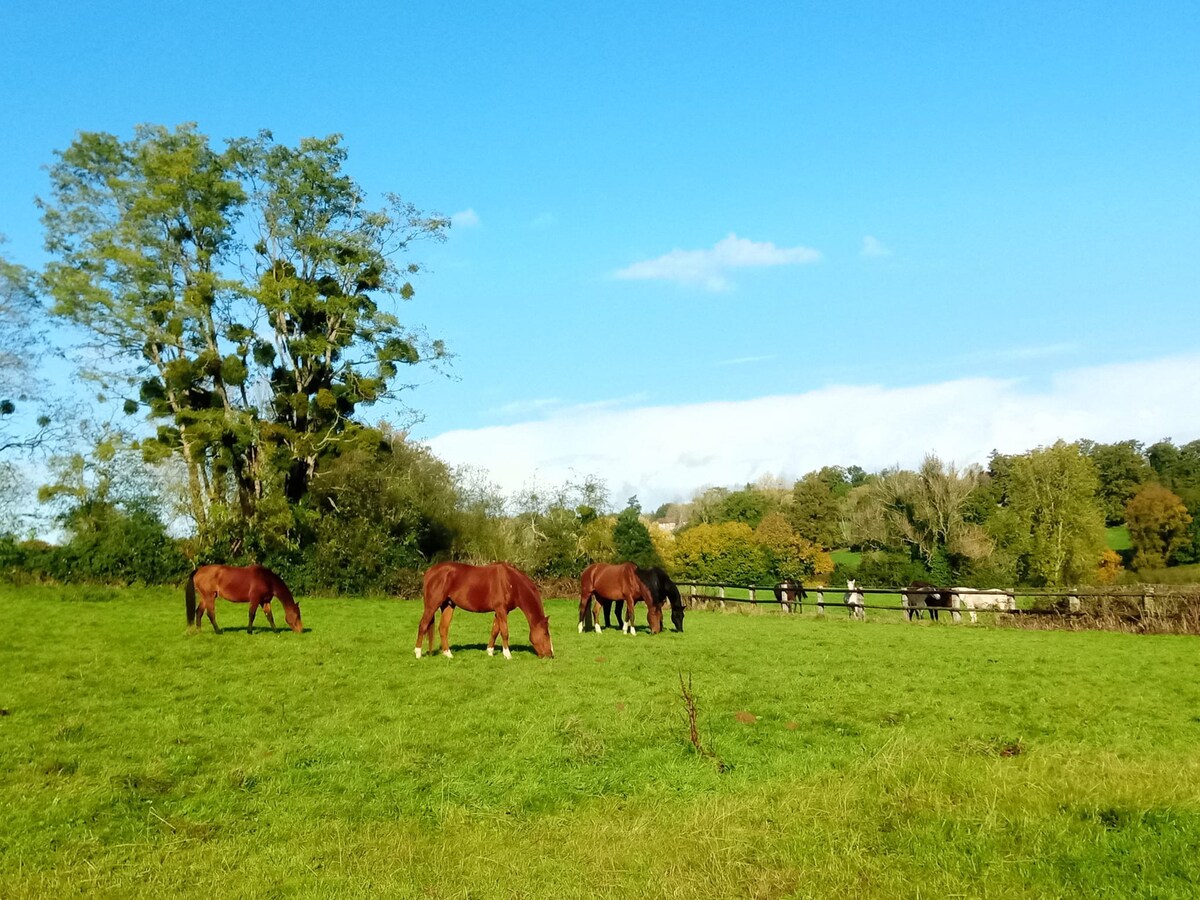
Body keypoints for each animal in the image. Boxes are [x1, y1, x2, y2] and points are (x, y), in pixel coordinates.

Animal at [415, 564, 554, 662]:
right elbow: (504, 632)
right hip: (432, 605)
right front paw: (507, 655)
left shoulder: (500, 611)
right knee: (423, 625)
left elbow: (495, 630)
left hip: (448, 605)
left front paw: (490, 652)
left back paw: (448, 654)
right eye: (545, 634)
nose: (550, 655)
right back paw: (418, 654)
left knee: (443, 628)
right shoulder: (501, 610)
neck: (511, 582)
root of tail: (430, 572)